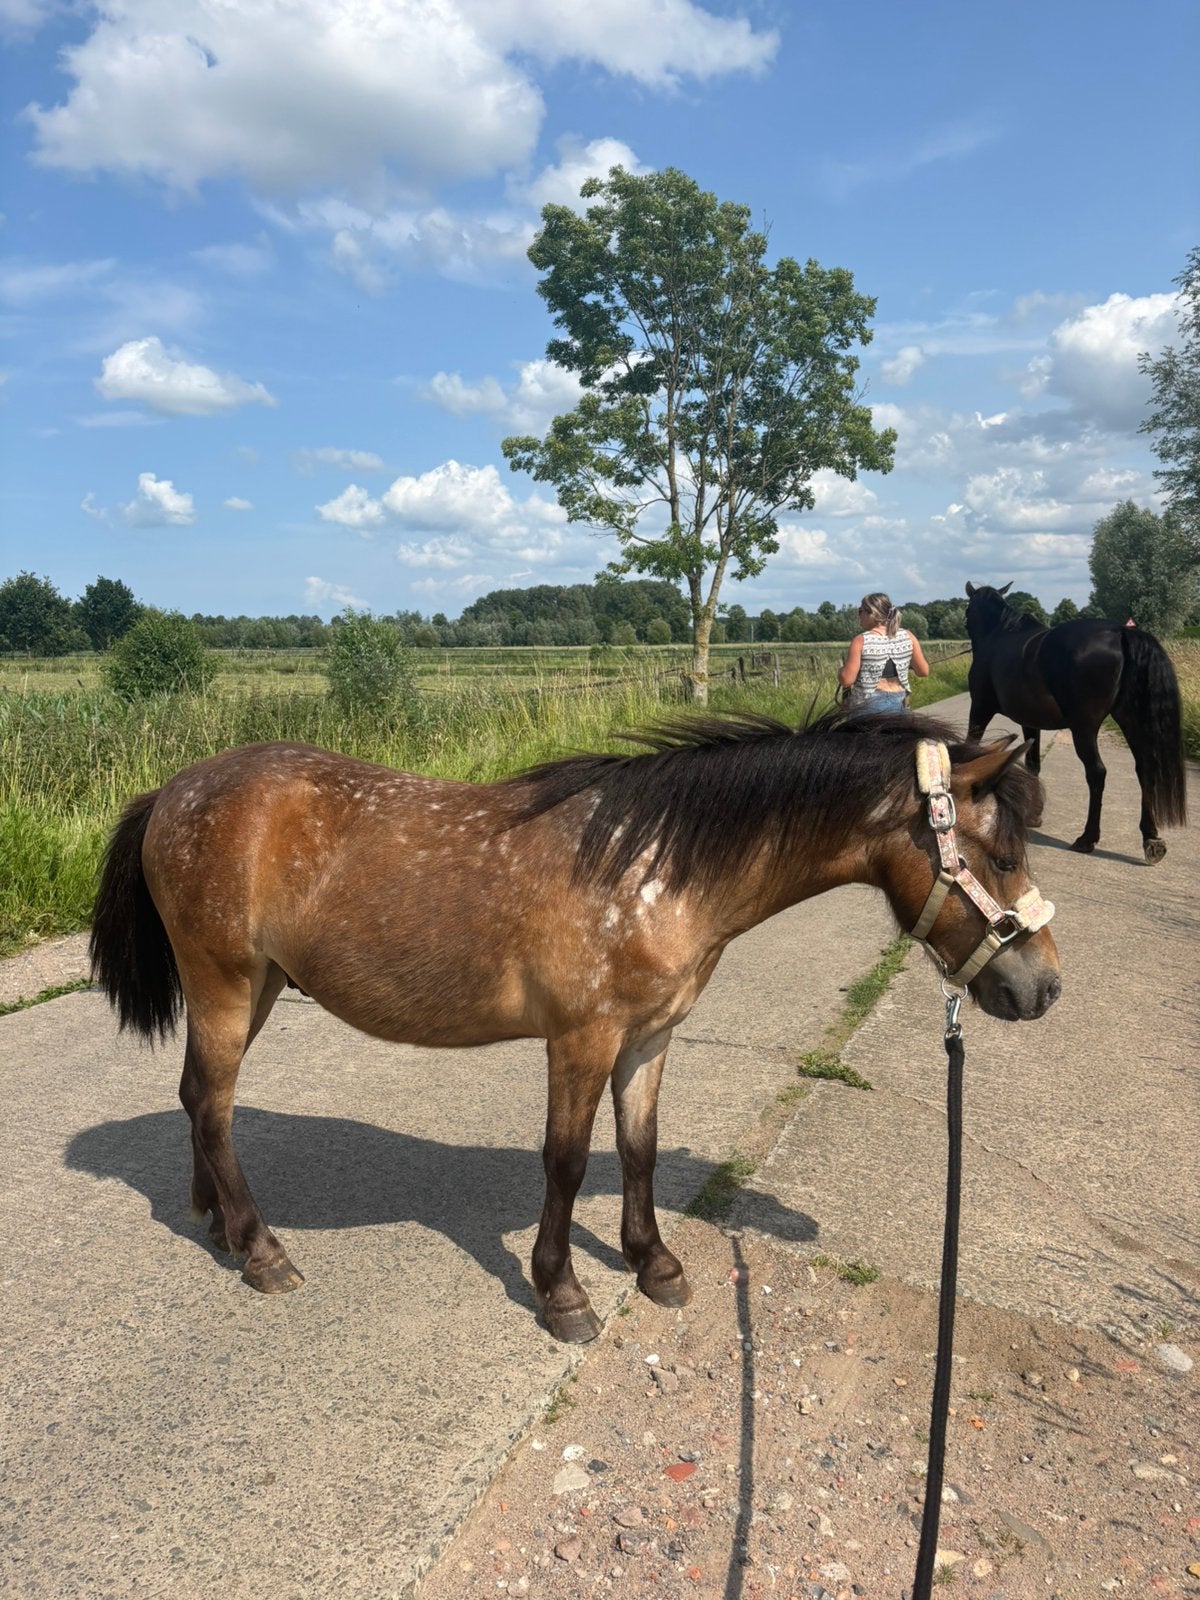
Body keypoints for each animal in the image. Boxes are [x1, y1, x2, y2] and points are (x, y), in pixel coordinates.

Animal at [89, 708, 1061, 1344]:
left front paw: (654, 1264)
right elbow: (564, 1161)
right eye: (1002, 853)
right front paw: (561, 1294)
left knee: (199, 1100)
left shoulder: (650, 1038)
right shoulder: (581, 1040)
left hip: (253, 988)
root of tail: (173, 791)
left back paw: (218, 1225)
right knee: (213, 1103)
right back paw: (260, 1251)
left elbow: (639, 1148)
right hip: (223, 983)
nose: (1044, 988)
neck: (657, 866)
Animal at [964, 583, 1188, 861]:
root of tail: (1121, 632)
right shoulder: (1030, 722)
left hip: (1084, 727)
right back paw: (1151, 838)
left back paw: (1087, 838)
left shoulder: (980, 709)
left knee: (1096, 773)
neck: (997, 637)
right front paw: (1034, 814)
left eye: (967, 611)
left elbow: (971, 745)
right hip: (1130, 721)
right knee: (1145, 768)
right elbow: (1033, 764)